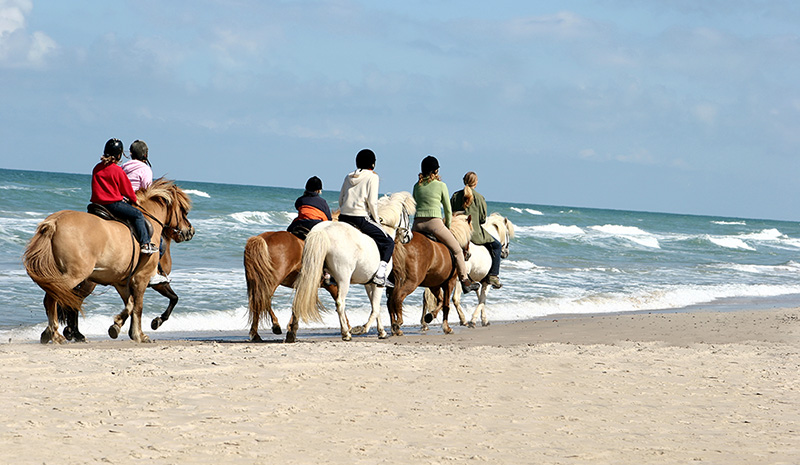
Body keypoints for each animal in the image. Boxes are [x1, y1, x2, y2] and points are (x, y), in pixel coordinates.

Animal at [23, 177, 194, 340]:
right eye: (184, 210)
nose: (190, 231)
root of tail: (55, 222)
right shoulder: (143, 279)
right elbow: (143, 305)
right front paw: (142, 332)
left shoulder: (121, 281)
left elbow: (130, 304)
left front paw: (117, 326)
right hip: (75, 276)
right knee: (56, 299)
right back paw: (58, 334)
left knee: (63, 299)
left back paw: (62, 333)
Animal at [290, 191, 416, 340]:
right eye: (407, 215)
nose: (409, 237)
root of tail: (323, 231)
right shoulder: (378, 284)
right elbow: (376, 307)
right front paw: (363, 328)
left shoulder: (369, 283)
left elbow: (375, 306)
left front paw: (381, 331)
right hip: (343, 279)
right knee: (340, 303)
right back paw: (346, 333)